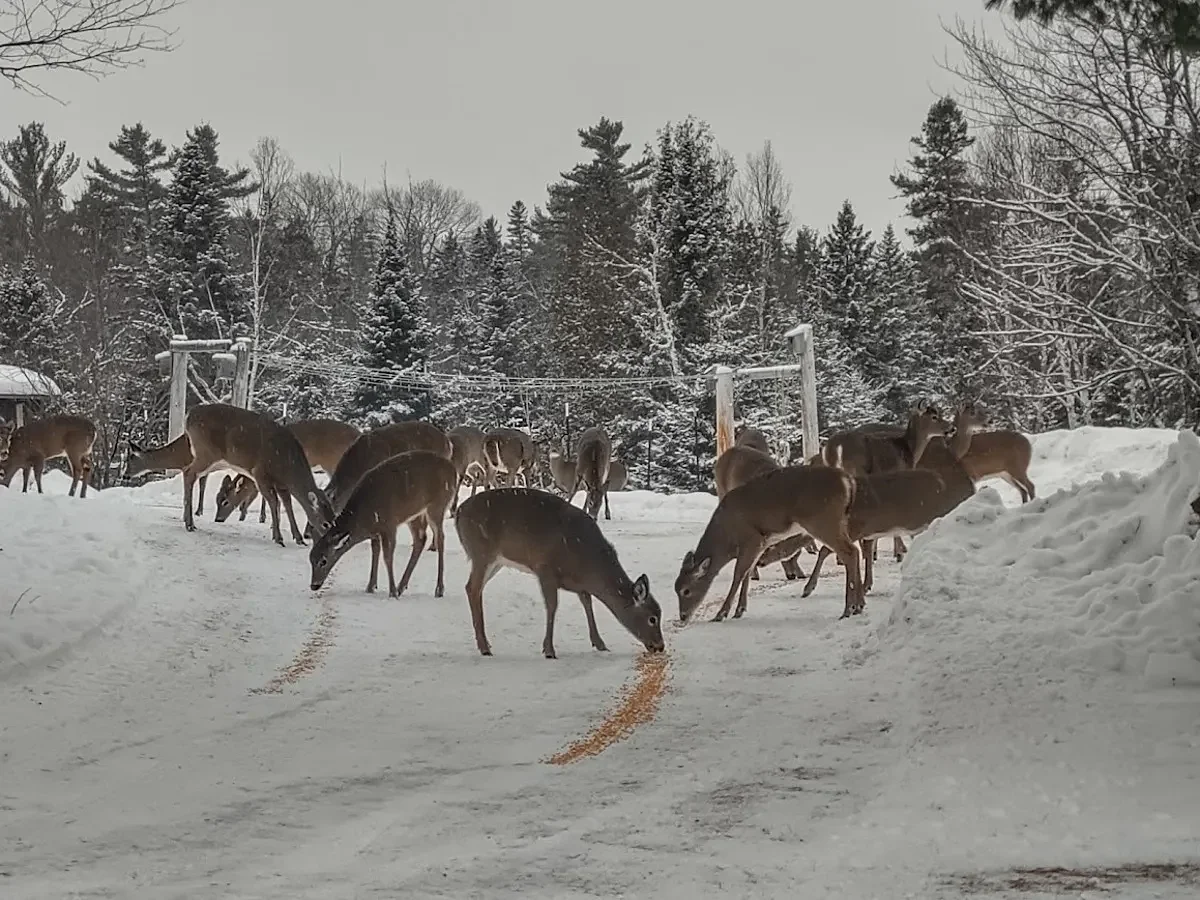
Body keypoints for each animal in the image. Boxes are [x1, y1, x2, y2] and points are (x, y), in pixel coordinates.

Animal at [180, 403, 335, 546]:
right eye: (325, 523)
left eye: (334, 519)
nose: (330, 540)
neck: (287, 465)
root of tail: (189, 415)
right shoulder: (260, 474)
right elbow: (274, 502)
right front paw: (278, 538)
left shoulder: (281, 484)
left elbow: (287, 504)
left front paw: (298, 538)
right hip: (206, 452)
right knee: (189, 473)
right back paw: (190, 524)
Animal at [212, 418, 361, 524]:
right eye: (217, 498)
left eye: (225, 501)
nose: (218, 519)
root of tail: (358, 433)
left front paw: (263, 518)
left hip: (333, 461)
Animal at [309, 450, 458, 599]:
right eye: (310, 559)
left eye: (323, 561)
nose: (314, 585)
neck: (363, 516)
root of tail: (453, 470)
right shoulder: (376, 531)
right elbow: (375, 552)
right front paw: (371, 587)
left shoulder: (389, 524)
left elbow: (387, 556)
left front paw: (392, 592)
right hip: (415, 515)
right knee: (421, 539)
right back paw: (402, 587)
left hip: (438, 505)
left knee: (440, 538)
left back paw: (438, 589)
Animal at [455, 488, 666, 659]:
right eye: (652, 618)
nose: (660, 646)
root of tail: (458, 513)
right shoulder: (545, 569)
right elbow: (552, 606)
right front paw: (549, 650)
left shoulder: (578, 583)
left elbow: (587, 602)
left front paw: (600, 644)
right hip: (482, 552)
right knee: (473, 587)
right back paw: (484, 648)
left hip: (495, 561)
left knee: (472, 588)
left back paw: (486, 645)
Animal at [675, 465, 862, 622]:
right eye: (675, 589)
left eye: (686, 590)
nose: (683, 616)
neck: (726, 537)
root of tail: (847, 481)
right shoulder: (760, 544)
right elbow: (747, 573)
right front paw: (739, 610)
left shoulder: (752, 539)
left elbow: (738, 574)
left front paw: (721, 614)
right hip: (837, 523)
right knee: (854, 551)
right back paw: (857, 606)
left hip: (822, 522)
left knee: (850, 552)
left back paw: (848, 609)